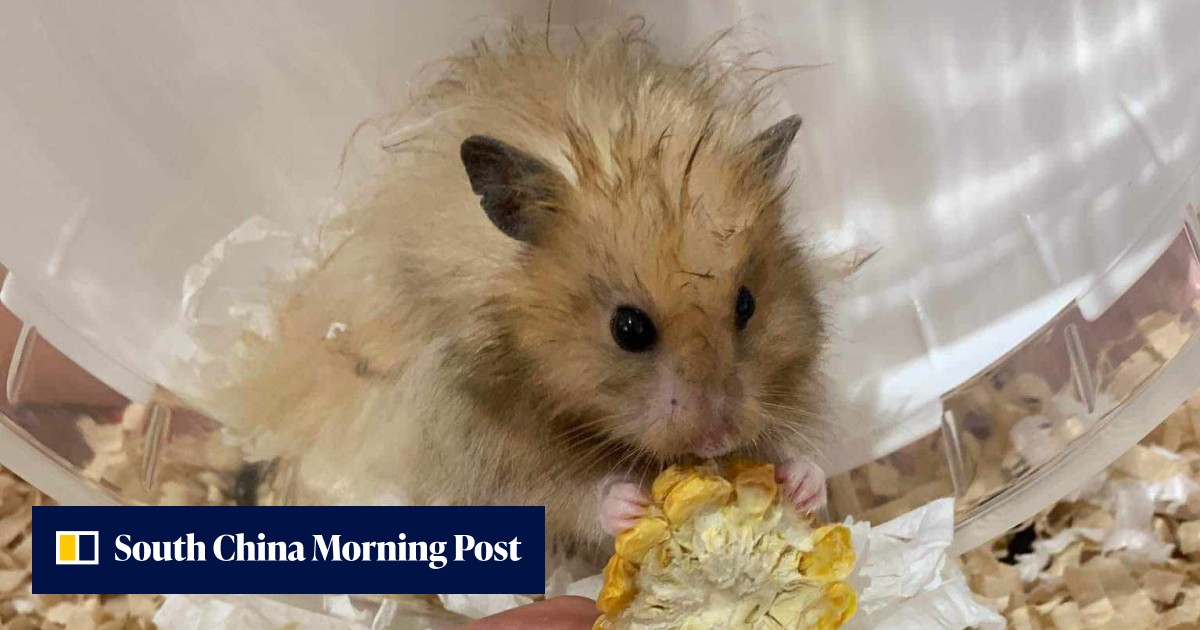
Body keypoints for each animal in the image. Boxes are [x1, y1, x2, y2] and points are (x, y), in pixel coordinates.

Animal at [211, 23, 830, 562]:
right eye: (628, 329)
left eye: (747, 305)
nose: (718, 442)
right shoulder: (481, 441)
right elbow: (561, 494)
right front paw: (629, 502)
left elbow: (801, 440)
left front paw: (803, 483)